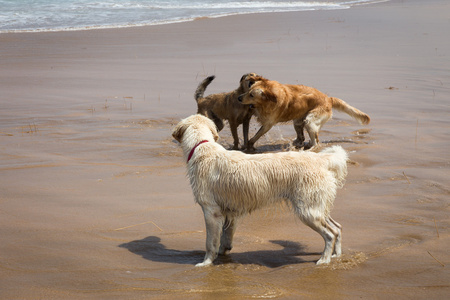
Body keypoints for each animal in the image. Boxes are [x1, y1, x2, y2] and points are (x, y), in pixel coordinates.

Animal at [172, 113, 348, 266]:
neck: (202, 147)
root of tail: (319, 159)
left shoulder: (211, 210)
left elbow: (210, 243)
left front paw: (205, 263)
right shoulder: (230, 212)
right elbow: (225, 237)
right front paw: (223, 252)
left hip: (307, 210)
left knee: (330, 234)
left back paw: (324, 260)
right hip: (316, 205)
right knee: (337, 228)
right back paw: (336, 255)